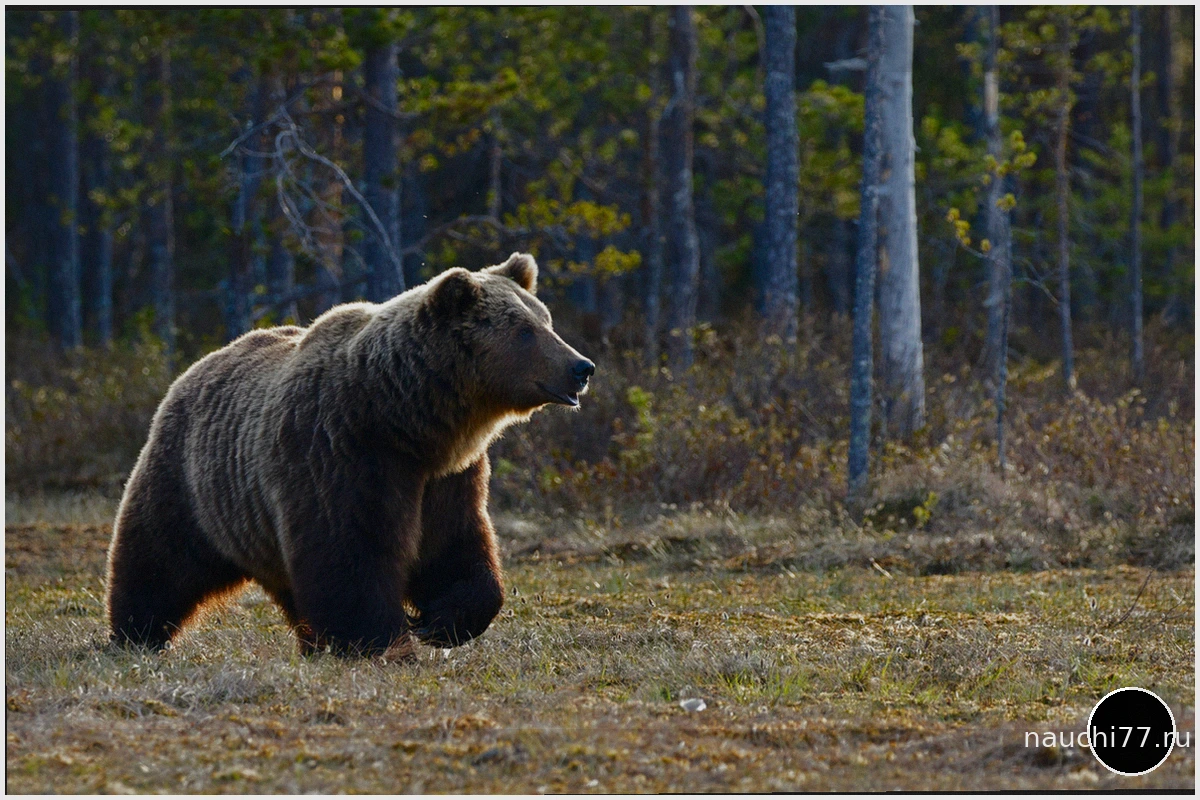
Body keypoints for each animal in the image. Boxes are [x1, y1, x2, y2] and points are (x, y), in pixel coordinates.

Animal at [104, 253, 593, 657]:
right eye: (525, 331)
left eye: (547, 321)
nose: (581, 366)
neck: (406, 419)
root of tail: (196, 367)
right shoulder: (341, 453)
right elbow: (350, 553)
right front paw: (381, 640)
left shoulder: (448, 476)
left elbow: (455, 546)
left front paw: (441, 622)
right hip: (193, 482)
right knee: (158, 559)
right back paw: (135, 634)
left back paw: (311, 642)